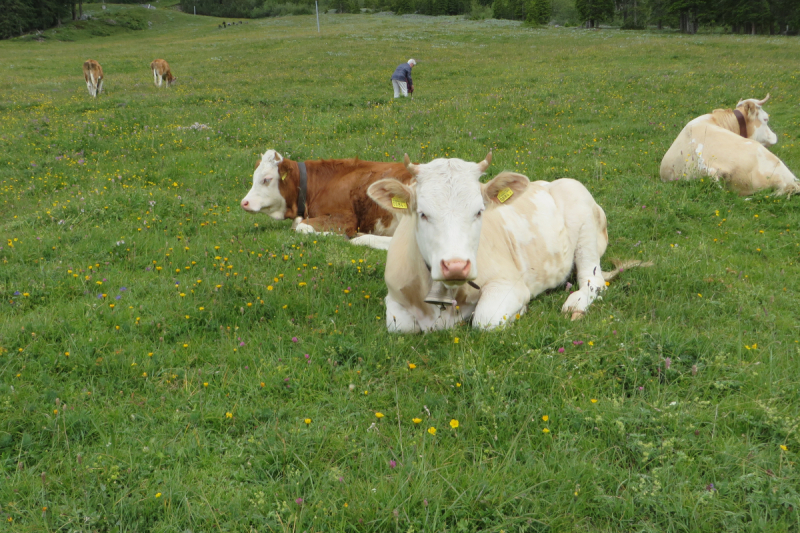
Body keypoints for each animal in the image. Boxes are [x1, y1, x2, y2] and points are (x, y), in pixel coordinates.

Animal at [368, 152, 644, 330]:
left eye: (479, 211)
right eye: (422, 213)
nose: (456, 266)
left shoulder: (510, 284)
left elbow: (486, 319)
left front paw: (519, 312)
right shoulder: (394, 296)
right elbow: (400, 326)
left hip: (585, 228)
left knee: (592, 280)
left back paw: (575, 304)